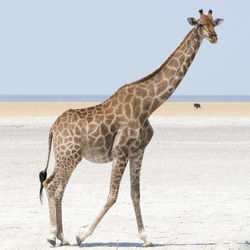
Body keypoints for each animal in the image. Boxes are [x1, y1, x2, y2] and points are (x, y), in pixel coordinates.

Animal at [39, 9, 225, 246]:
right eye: (200, 24)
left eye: (214, 23)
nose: (214, 37)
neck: (148, 106)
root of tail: (53, 128)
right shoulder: (121, 151)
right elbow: (113, 194)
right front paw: (82, 235)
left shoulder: (138, 150)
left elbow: (135, 193)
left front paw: (146, 237)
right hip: (68, 156)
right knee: (52, 185)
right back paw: (53, 235)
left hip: (68, 157)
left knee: (57, 187)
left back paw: (62, 237)